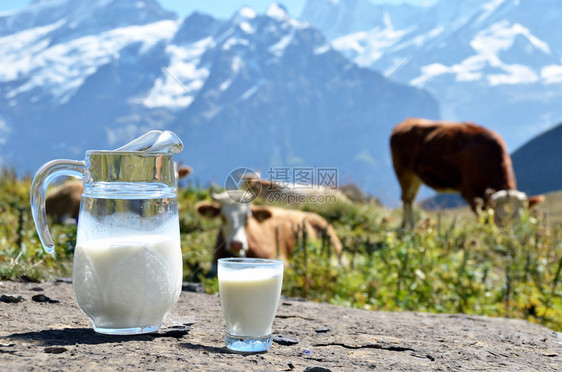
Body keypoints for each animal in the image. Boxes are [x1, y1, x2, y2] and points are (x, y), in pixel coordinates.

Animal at [390, 117, 544, 228]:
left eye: (520, 221)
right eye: (500, 221)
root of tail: (407, 121)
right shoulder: (471, 193)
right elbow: (482, 220)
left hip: (416, 177)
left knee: (410, 199)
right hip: (403, 172)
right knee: (406, 199)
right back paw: (407, 227)